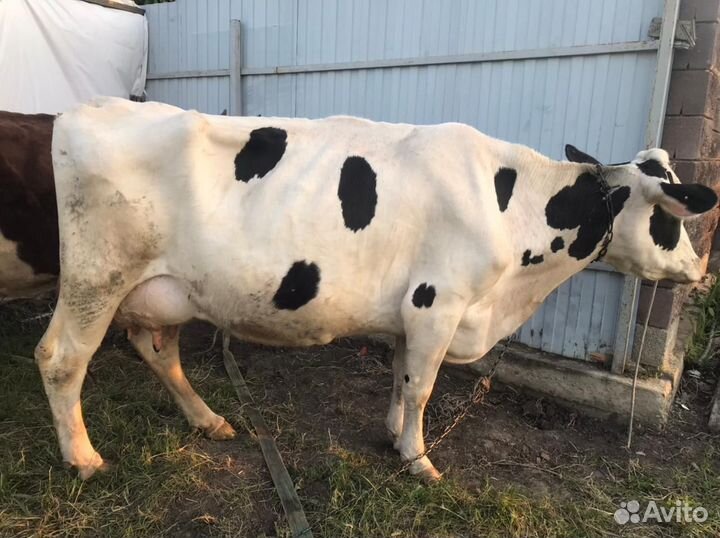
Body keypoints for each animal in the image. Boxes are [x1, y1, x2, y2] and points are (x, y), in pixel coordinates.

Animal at [34, 97, 717, 481]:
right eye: (671, 217)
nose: (698, 269)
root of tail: (86, 110)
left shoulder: (412, 313)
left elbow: (400, 376)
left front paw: (393, 436)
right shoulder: (439, 301)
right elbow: (422, 388)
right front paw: (419, 461)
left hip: (165, 288)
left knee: (158, 351)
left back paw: (209, 421)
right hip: (98, 276)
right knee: (60, 357)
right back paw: (83, 459)